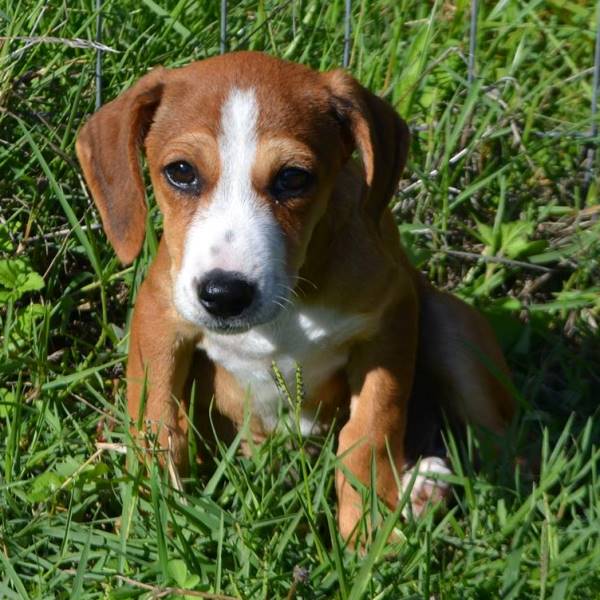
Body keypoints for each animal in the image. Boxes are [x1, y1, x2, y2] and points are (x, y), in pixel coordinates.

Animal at [76, 51, 514, 540]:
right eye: (181, 172)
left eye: (293, 178)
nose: (224, 294)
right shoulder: (161, 317)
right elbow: (158, 423)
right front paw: (154, 527)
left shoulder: (392, 319)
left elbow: (370, 431)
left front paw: (367, 534)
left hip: (450, 325)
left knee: (500, 441)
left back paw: (433, 492)